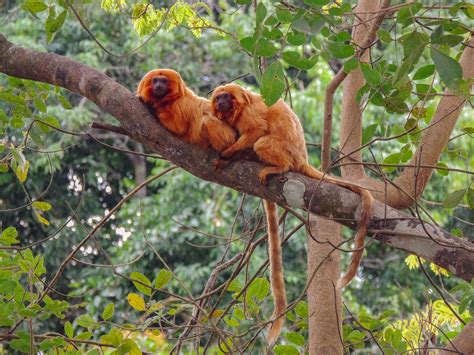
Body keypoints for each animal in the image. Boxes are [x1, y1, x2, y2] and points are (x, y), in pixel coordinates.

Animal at [212, 84, 374, 344]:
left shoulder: (249, 114)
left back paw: (278, 166)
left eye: (226, 97)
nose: (221, 102)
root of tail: (302, 159)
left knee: (263, 142)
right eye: (219, 98)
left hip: (287, 152)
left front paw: (228, 152)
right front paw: (231, 154)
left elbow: (256, 130)